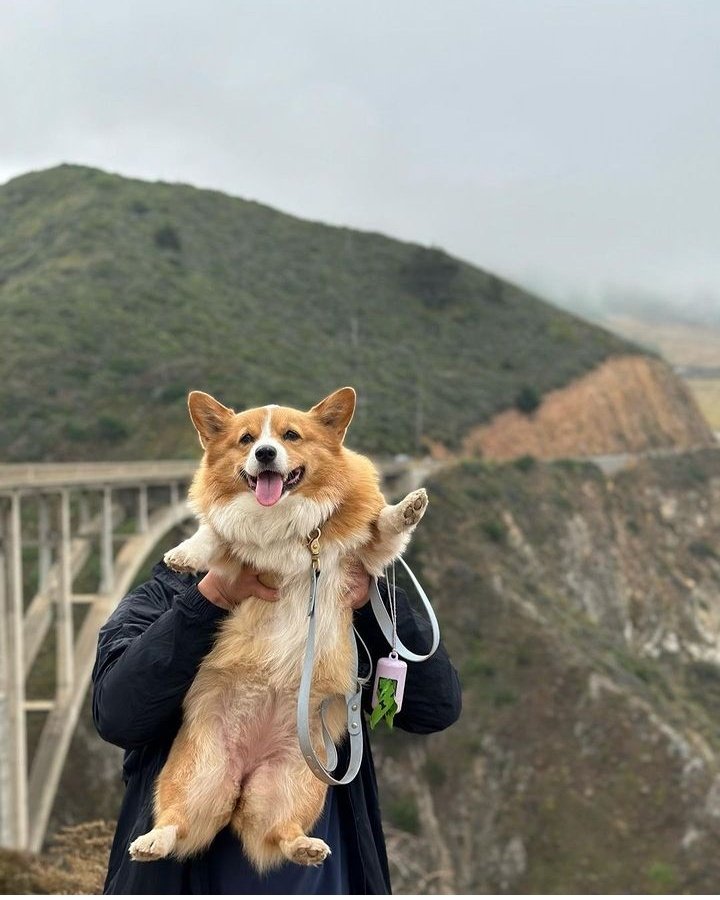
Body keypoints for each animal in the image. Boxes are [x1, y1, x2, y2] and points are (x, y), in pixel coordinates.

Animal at [128, 386, 428, 872]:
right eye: (246, 440)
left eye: (290, 435)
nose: (265, 454)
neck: (283, 520)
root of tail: (244, 776)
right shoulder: (232, 547)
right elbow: (214, 534)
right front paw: (184, 553)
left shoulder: (363, 556)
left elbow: (382, 528)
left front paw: (407, 507)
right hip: (195, 774)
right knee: (179, 822)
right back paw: (152, 841)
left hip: (300, 779)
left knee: (279, 830)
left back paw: (304, 846)